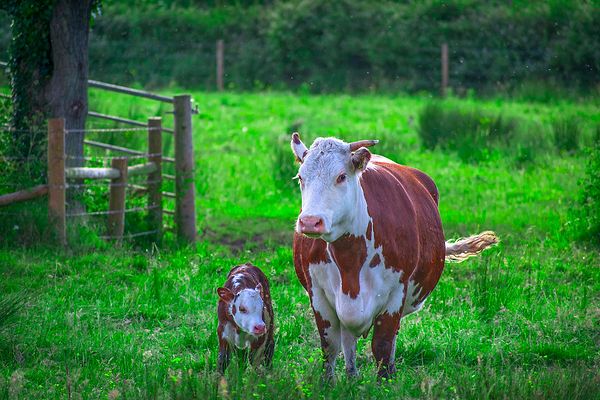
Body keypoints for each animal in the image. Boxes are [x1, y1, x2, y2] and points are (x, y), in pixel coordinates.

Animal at [290, 134, 496, 378]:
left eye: (341, 176)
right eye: (301, 177)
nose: (310, 221)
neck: (350, 259)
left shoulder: (396, 293)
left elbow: (383, 345)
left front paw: (386, 381)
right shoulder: (317, 293)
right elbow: (329, 347)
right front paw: (328, 383)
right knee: (348, 341)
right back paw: (351, 376)